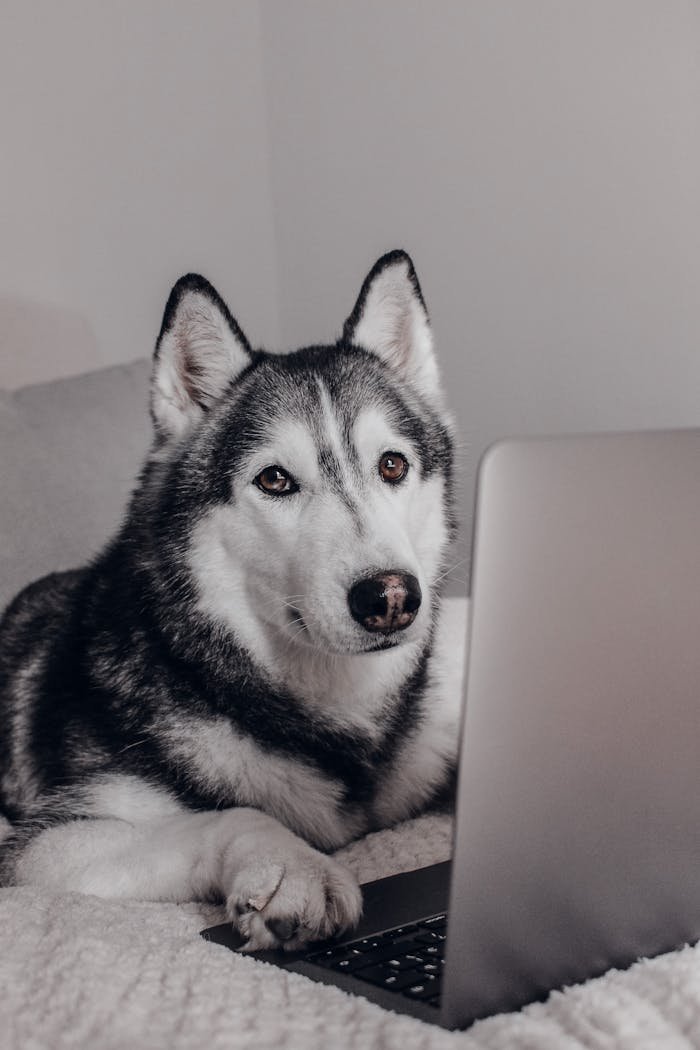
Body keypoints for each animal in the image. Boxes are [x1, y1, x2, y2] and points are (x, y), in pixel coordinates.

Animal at [1, 251, 459, 953]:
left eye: (391, 466)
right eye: (274, 479)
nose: (390, 597)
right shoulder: (44, 848)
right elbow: (231, 814)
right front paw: (293, 867)